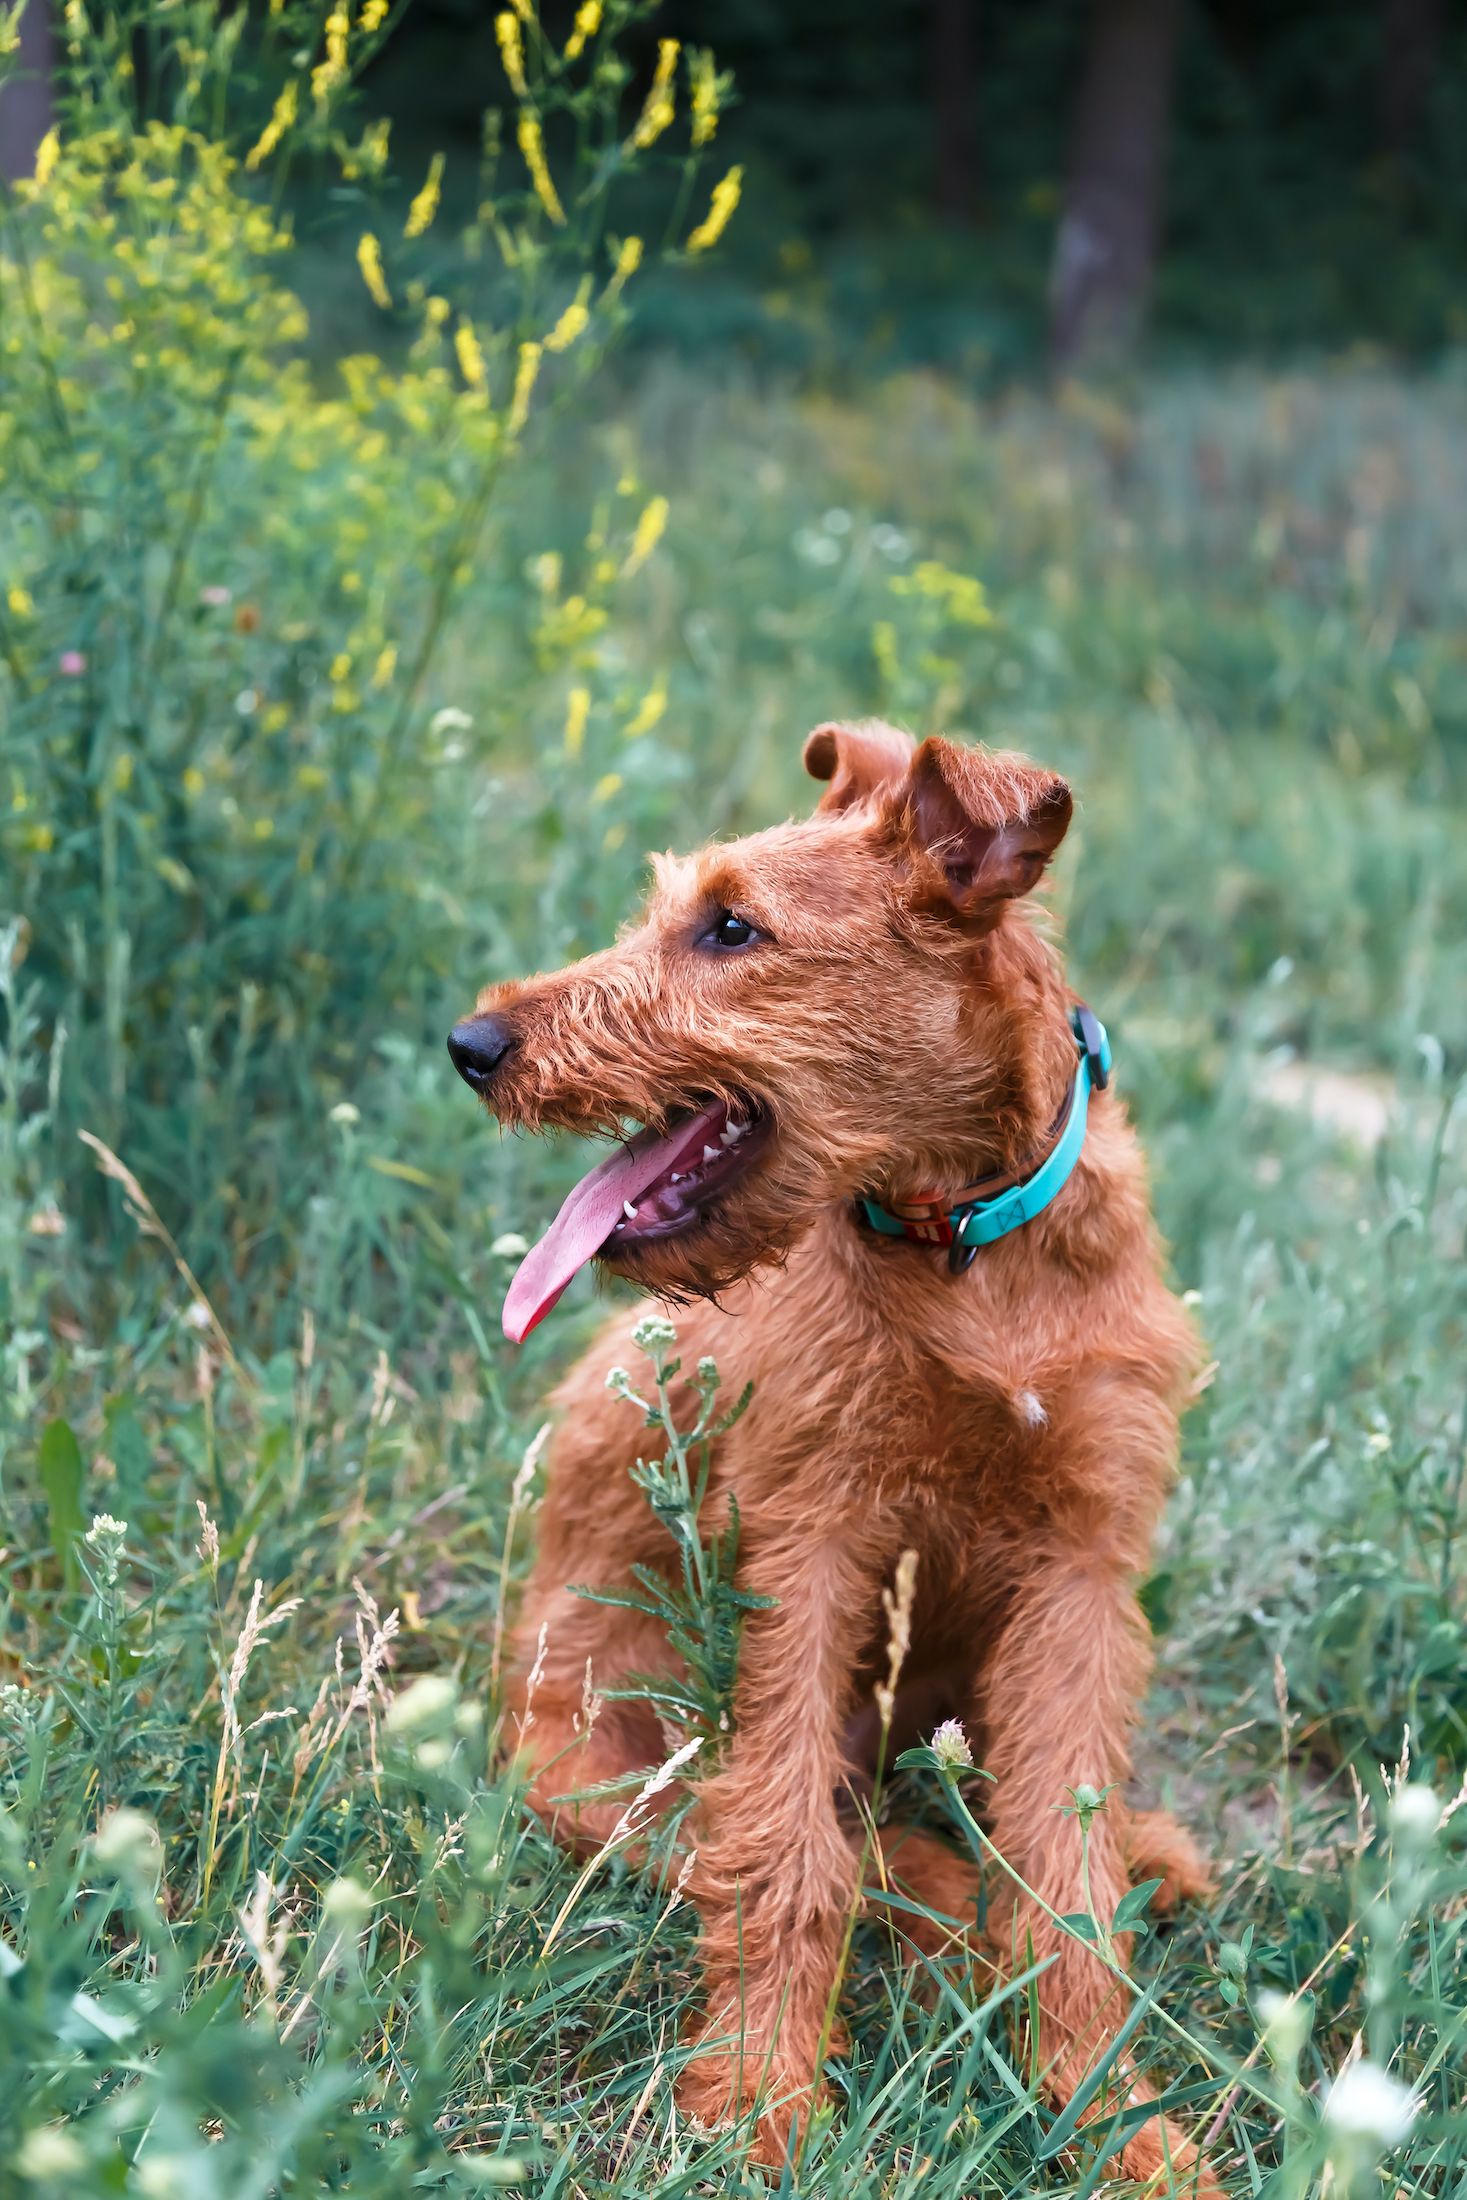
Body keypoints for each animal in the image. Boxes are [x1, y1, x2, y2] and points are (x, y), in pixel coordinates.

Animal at [448, 721, 1214, 2182]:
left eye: (731, 929)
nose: (472, 1040)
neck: (972, 1253)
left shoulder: (1083, 1570)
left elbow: (1068, 1876)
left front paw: (1114, 2122)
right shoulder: (816, 1548)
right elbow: (788, 1847)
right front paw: (757, 2099)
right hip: (603, 1777)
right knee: (811, 1845)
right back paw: (940, 1895)